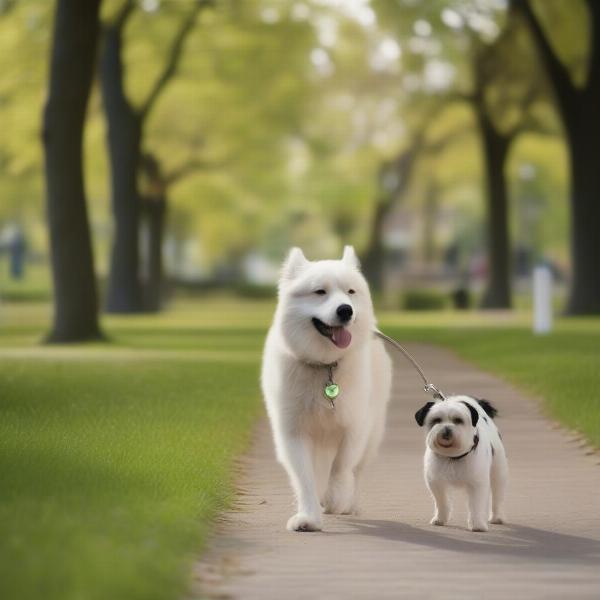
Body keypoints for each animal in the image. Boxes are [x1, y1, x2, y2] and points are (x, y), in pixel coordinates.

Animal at [260, 246, 392, 532]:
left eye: (351, 292)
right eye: (320, 292)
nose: (346, 310)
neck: (324, 365)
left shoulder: (354, 426)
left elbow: (341, 466)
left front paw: (335, 499)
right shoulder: (293, 431)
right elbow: (305, 478)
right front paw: (308, 517)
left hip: (372, 435)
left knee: (357, 472)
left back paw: (350, 503)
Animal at [414, 396, 508, 532]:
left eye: (458, 420)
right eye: (437, 420)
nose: (446, 429)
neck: (452, 456)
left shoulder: (477, 483)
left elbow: (476, 504)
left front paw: (478, 524)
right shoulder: (435, 481)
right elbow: (441, 500)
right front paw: (440, 518)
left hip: (498, 471)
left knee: (497, 495)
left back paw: (496, 517)